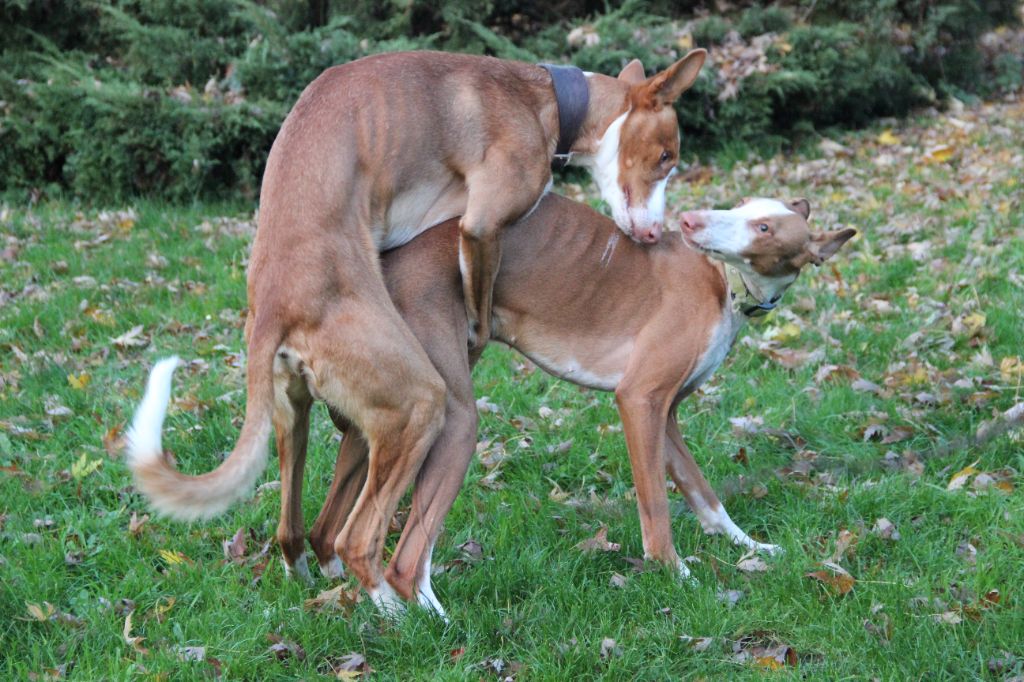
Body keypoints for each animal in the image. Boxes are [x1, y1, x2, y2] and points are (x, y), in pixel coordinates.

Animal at [123, 50, 708, 606]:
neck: (546, 98)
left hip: (297, 417)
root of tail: (272, 306)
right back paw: (403, 610)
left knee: (293, 532)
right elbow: (479, 296)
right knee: (359, 537)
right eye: (666, 158)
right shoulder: (482, 225)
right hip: (421, 402)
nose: (654, 235)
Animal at [299, 192, 851, 614]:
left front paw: (749, 546)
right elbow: (656, 507)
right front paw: (677, 576)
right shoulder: (640, 400)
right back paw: (427, 621)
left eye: (763, 225)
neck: (723, 286)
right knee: (392, 552)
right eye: (739, 209)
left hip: (381, 425)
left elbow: (705, 496)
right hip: (450, 421)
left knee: (327, 533)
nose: (690, 221)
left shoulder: (667, 415)